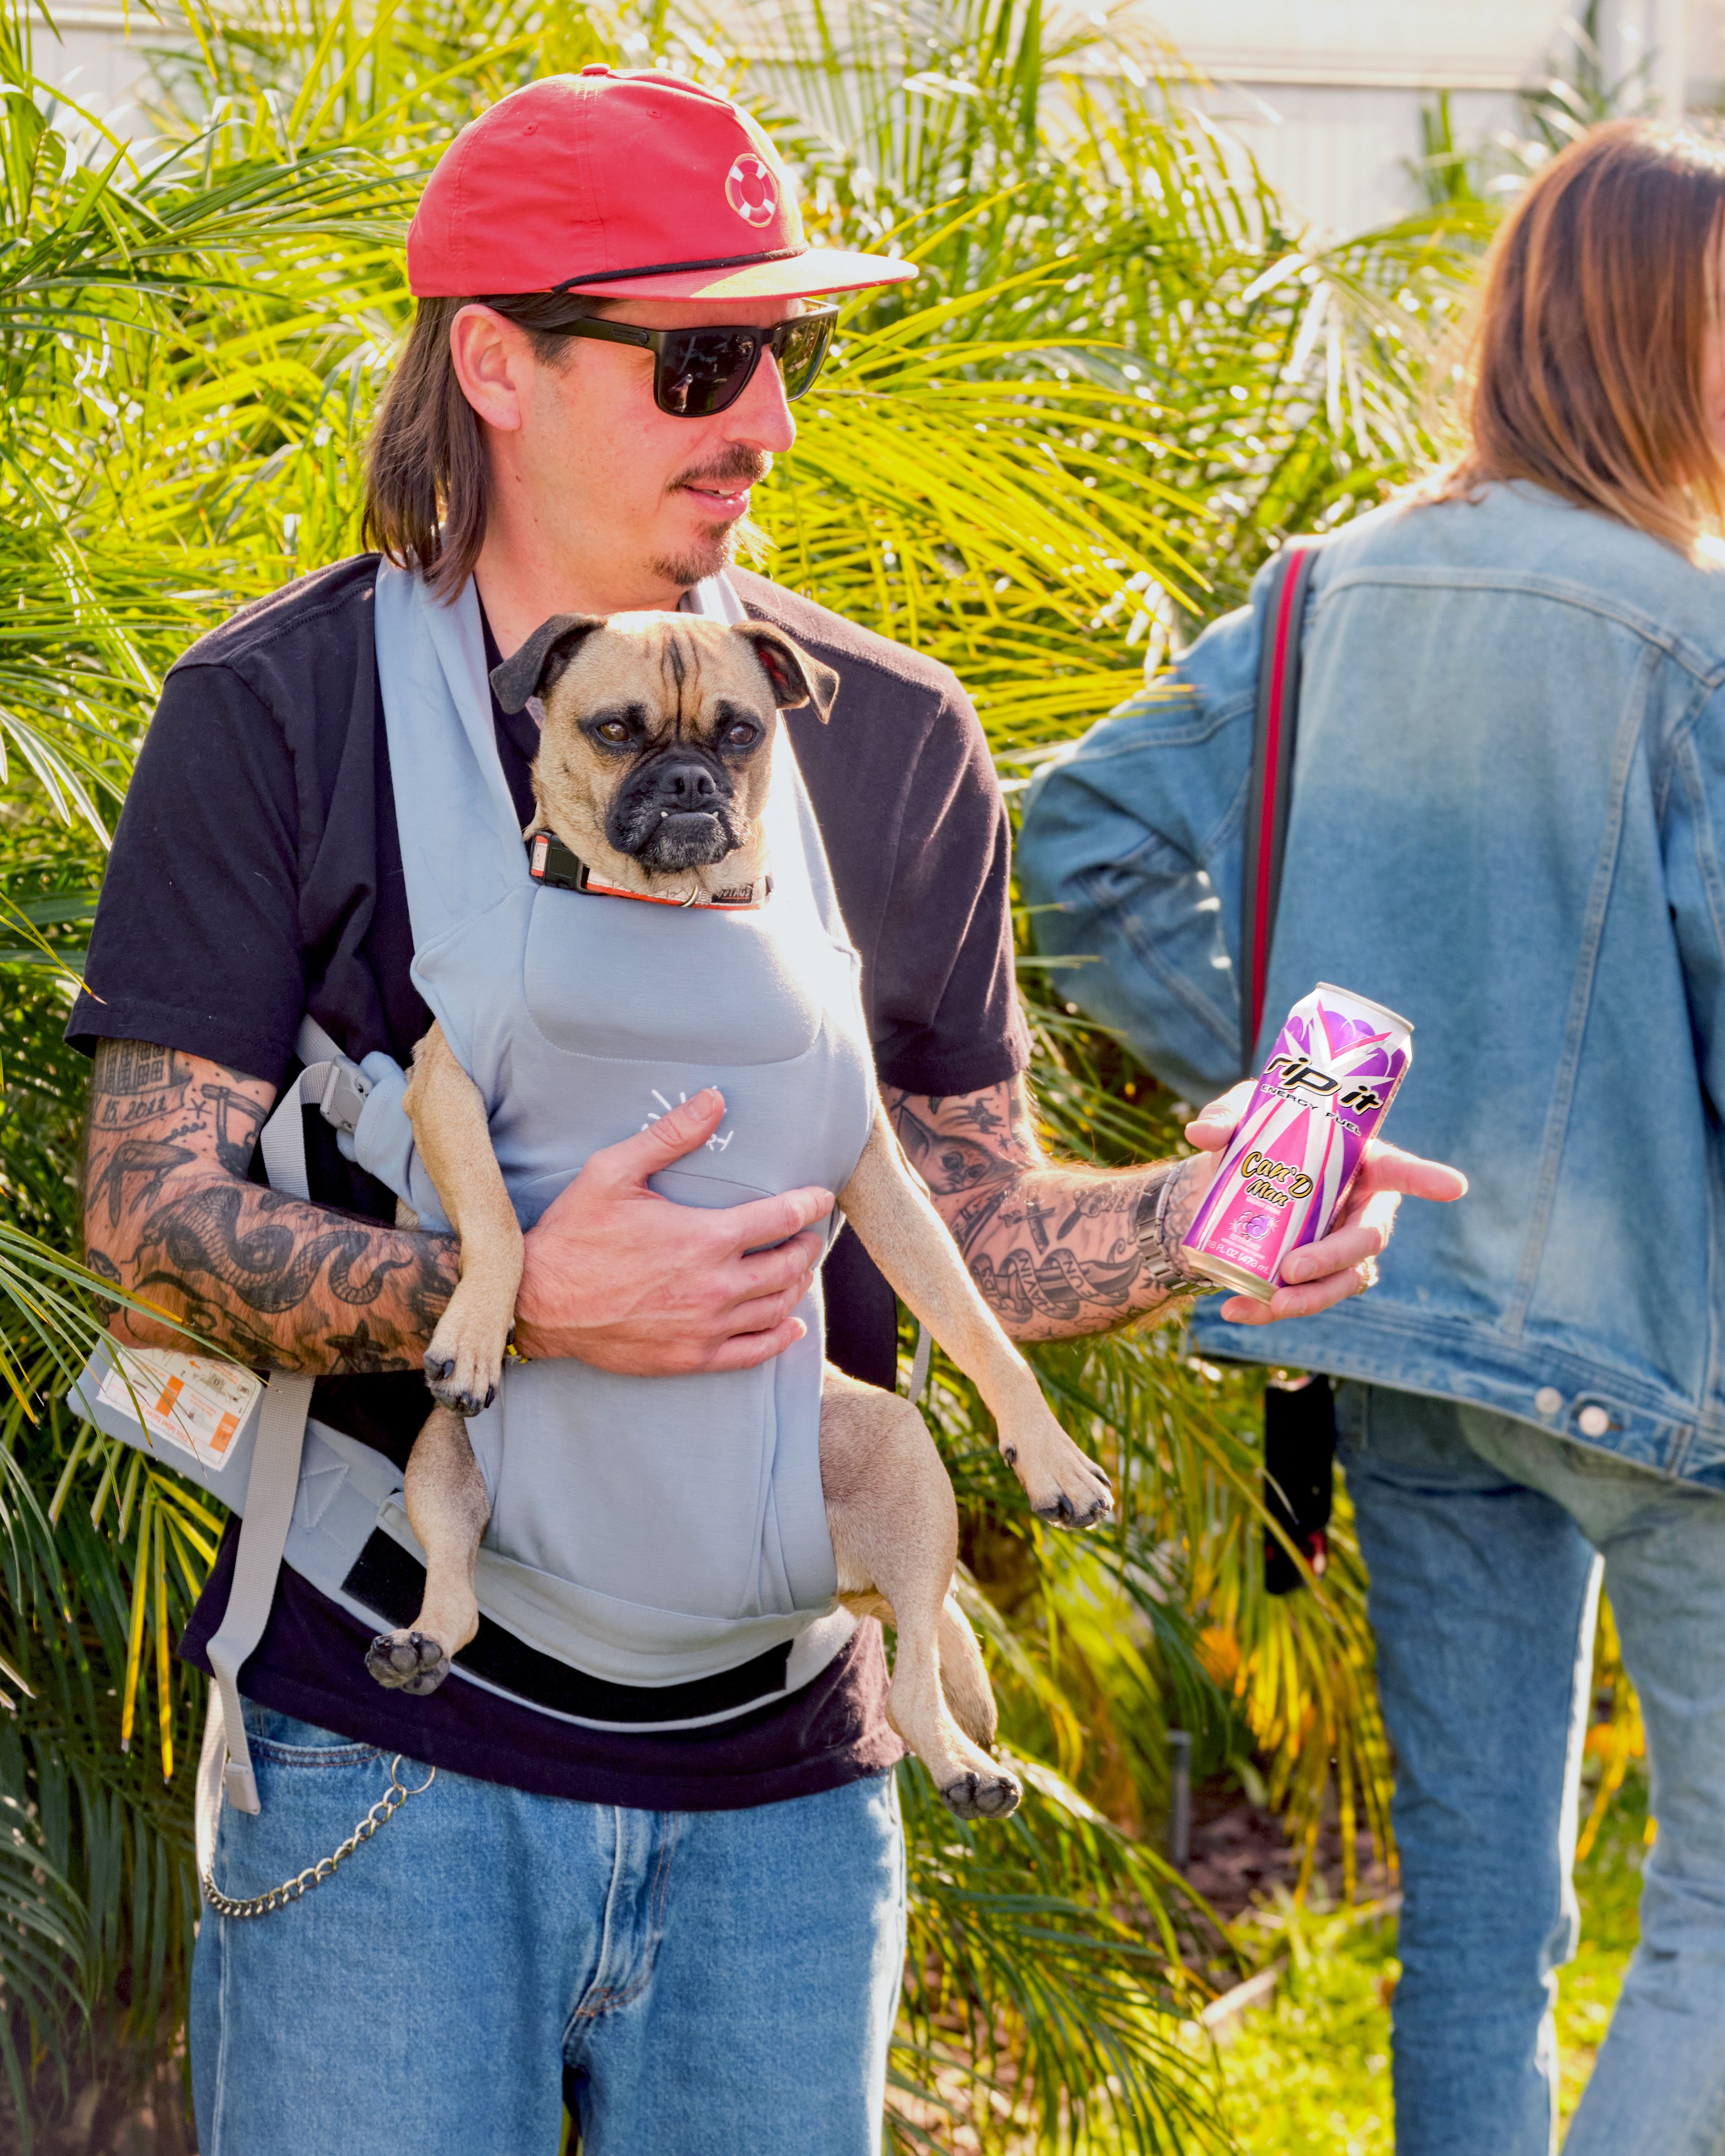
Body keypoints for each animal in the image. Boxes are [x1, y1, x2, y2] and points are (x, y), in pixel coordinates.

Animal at [368, 608, 1113, 1819]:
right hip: (441, 1462)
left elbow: (971, 1314)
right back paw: (418, 1644)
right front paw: (480, 1326)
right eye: (614, 730)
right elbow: (498, 1219)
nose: (684, 779)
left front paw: (1047, 1451)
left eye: (740, 732)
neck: (663, 919)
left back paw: (963, 1765)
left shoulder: (879, 1175)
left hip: (904, 1472)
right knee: (461, 1596)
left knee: (915, 1677)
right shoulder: (445, 1087)